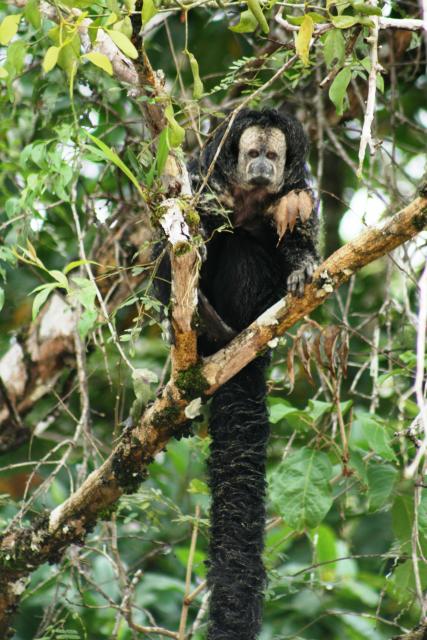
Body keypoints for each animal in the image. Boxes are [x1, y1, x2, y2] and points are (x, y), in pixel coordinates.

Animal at [154, 108, 319, 639]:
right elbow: (178, 225)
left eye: (272, 155)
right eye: (253, 153)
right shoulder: (207, 173)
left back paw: (231, 327)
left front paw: (303, 267)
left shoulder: (297, 188)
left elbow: (296, 231)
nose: (263, 167)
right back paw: (202, 321)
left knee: (248, 246)